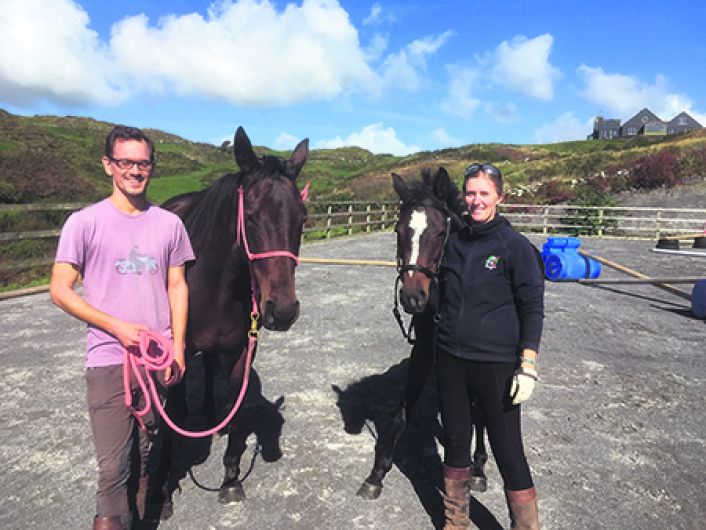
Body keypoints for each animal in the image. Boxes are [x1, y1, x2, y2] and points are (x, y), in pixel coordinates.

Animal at [157, 126, 308, 512]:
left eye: (302, 218)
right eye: (250, 216)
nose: (282, 310)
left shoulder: (242, 351)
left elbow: (237, 411)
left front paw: (230, 479)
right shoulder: (177, 355)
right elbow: (172, 416)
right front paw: (163, 491)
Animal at [354, 168, 486, 500]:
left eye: (440, 232)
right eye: (399, 231)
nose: (413, 297)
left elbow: (476, 413)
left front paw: (476, 470)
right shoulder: (424, 352)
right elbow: (401, 413)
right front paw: (376, 474)